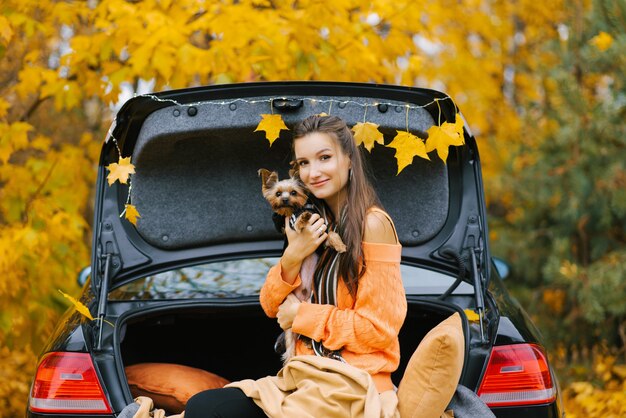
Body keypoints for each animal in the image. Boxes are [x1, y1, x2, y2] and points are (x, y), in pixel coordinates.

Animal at [258, 168, 346, 364]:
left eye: (293, 193)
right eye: (277, 193)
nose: (284, 200)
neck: (295, 210)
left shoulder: (322, 233)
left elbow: (331, 235)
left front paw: (340, 245)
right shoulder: (287, 225)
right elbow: (296, 225)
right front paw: (302, 220)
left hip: (311, 304)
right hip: (291, 327)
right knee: (290, 348)